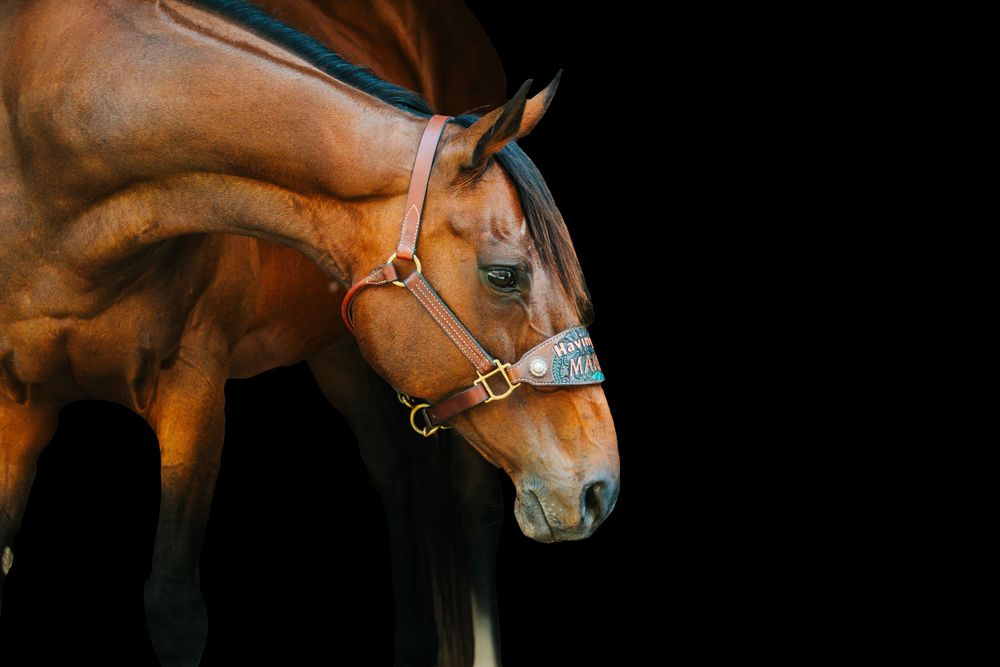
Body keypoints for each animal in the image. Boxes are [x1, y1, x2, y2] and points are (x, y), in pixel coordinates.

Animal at [0, 1, 620, 665]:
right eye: (504, 275)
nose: (600, 489)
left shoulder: (193, 391)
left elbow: (174, 608)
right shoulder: (18, 405)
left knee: (473, 508)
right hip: (338, 356)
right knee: (396, 481)